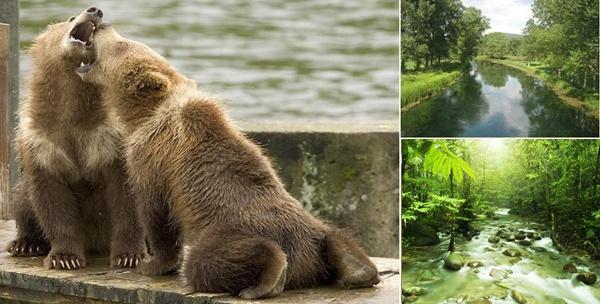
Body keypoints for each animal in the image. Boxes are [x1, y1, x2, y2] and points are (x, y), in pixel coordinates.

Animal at [6, 7, 144, 270]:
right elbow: (51, 200)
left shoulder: (111, 139)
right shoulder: (42, 141)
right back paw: (25, 244)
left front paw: (129, 255)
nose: (95, 10)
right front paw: (65, 258)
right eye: (69, 18)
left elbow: (125, 197)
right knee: (22, 200)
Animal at [77, 8, 380, 300]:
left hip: (225, 229)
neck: (141, 114)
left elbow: (155, 212)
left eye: (122, 44)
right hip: (312, 228)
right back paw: (359, 271)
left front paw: (150, 264)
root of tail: (305, 263)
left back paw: (269, 277)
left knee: (207, 261)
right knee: (335, 235)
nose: (102, 23)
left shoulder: (152, 158)